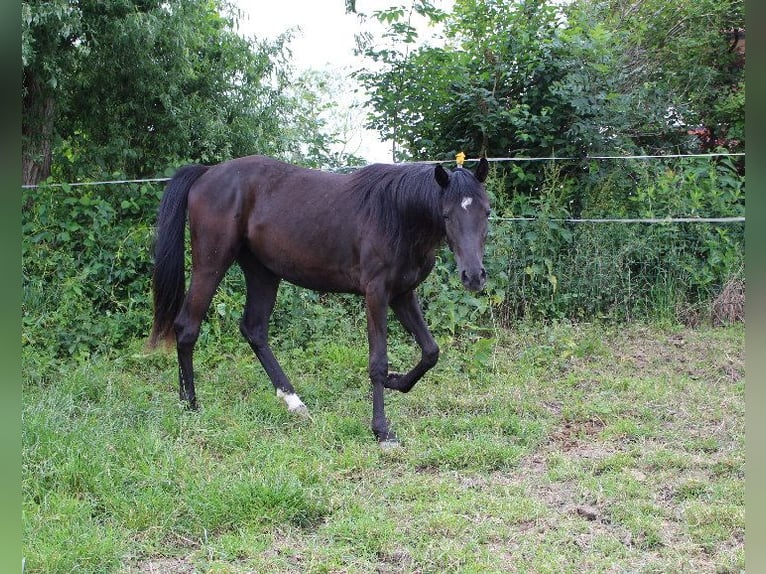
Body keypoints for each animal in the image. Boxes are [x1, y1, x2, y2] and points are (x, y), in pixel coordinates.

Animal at [150, 154, 492, 446]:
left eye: (486, 212)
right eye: (446, 214)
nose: (473, 276)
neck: (396, 213)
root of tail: (207, 173)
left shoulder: (402, 293)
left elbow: (430, 351)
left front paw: (397, 383)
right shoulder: (377, 293)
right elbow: (378, 362)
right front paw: (382, 430)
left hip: (263, 272)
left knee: (254, 330)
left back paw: (293, 402)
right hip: (211, 263)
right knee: (187, 327)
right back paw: (190, 403)